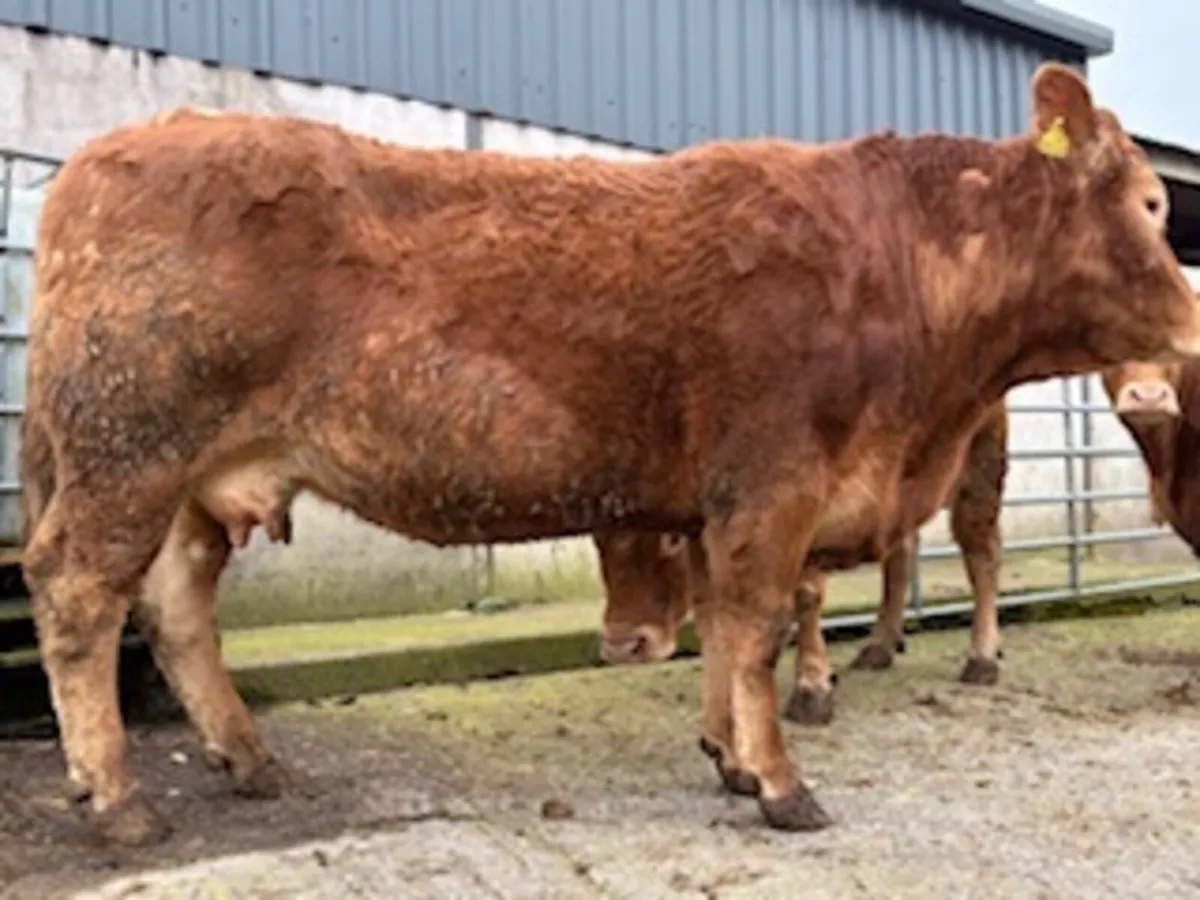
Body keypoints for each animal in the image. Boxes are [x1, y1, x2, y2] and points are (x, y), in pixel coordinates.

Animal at [597, 402, 1009, 727]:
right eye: (598, 536)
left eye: (672, 536)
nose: (622, 646)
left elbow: (805, 596)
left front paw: (811, 690)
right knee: (899, 559)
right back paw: (880, 646)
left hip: (979, 471)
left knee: (982, 555)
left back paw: (982, 658)